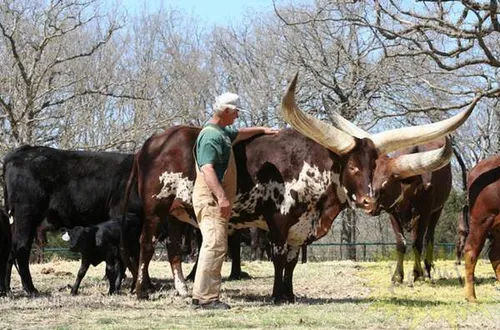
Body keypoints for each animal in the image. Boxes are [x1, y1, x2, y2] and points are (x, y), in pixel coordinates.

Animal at [3, 146, 145, 296]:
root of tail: (23, 150)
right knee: (21, 247)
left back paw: (7, 288)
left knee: (10, 252)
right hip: (26, 214)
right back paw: (30, 289)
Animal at [125, 74, 476, 302]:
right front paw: (278, 296)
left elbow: (293, 262)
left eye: (376, 168)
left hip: (175, 212)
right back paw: (141, 290)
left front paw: (291, 294)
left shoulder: (300, 227)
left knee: (172, 248)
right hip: (155, 207)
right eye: (353, 167)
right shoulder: (279, 222)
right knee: (145, 244)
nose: (368, 202)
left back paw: (183, 290)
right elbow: (280, 259)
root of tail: (154, 141)